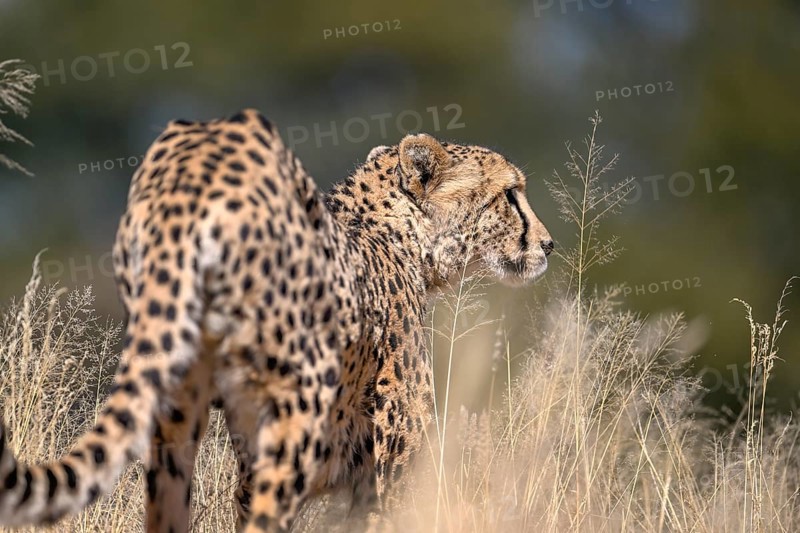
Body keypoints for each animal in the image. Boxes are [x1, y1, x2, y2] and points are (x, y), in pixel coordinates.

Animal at [0, 108, 553, 532]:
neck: (399, 231)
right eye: (510, 194)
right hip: (294, 411)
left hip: (177, 400)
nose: (548, 244)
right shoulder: (396, 460)